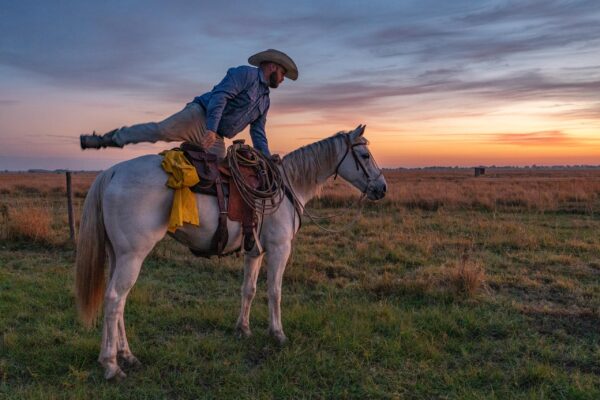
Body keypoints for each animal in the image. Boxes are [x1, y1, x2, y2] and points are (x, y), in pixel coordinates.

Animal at [76, 125, 384, 378]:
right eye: (365, 155)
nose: (381, 188)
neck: (286, 188)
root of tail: (112, 172)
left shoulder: (254, 252)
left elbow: (249, 289)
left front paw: (243, 329)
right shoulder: (279, 248)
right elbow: (275, 292)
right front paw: (278, 334)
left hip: (118, 255)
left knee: (118, 301)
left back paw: (126, 355)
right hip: (132, 256)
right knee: (115, 300)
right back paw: (111, 365)